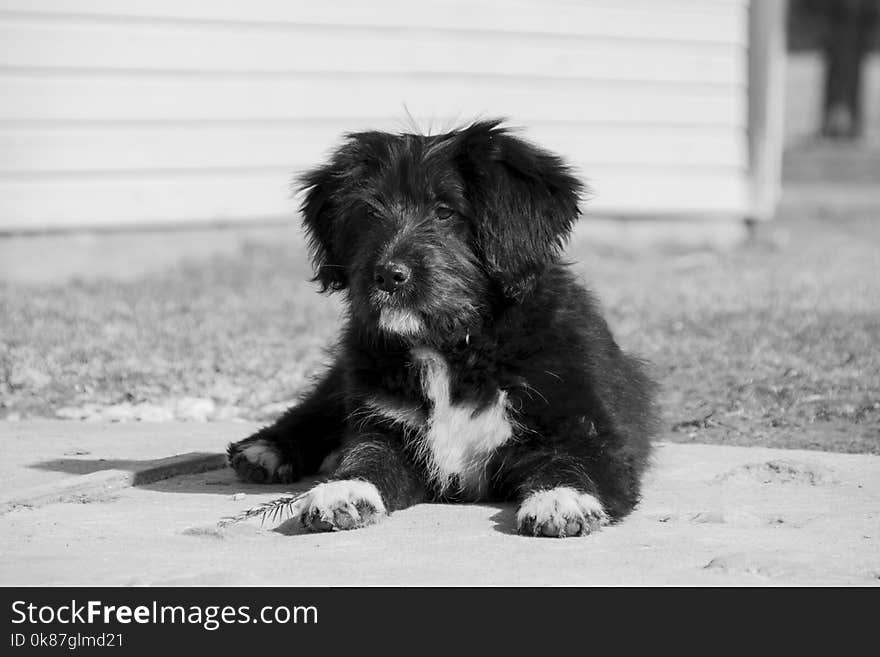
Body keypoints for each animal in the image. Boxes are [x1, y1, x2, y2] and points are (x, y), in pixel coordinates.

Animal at [230, 119, 656, 540]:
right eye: (369, 213)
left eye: (445, 212)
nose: (388, 275)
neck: (455, 347)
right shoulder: (386, 425)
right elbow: (367, 455)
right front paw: (344, 489)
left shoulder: (585, 428)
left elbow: (576, 463)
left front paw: (561, 499)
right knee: (315, 409)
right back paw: (264, 450)